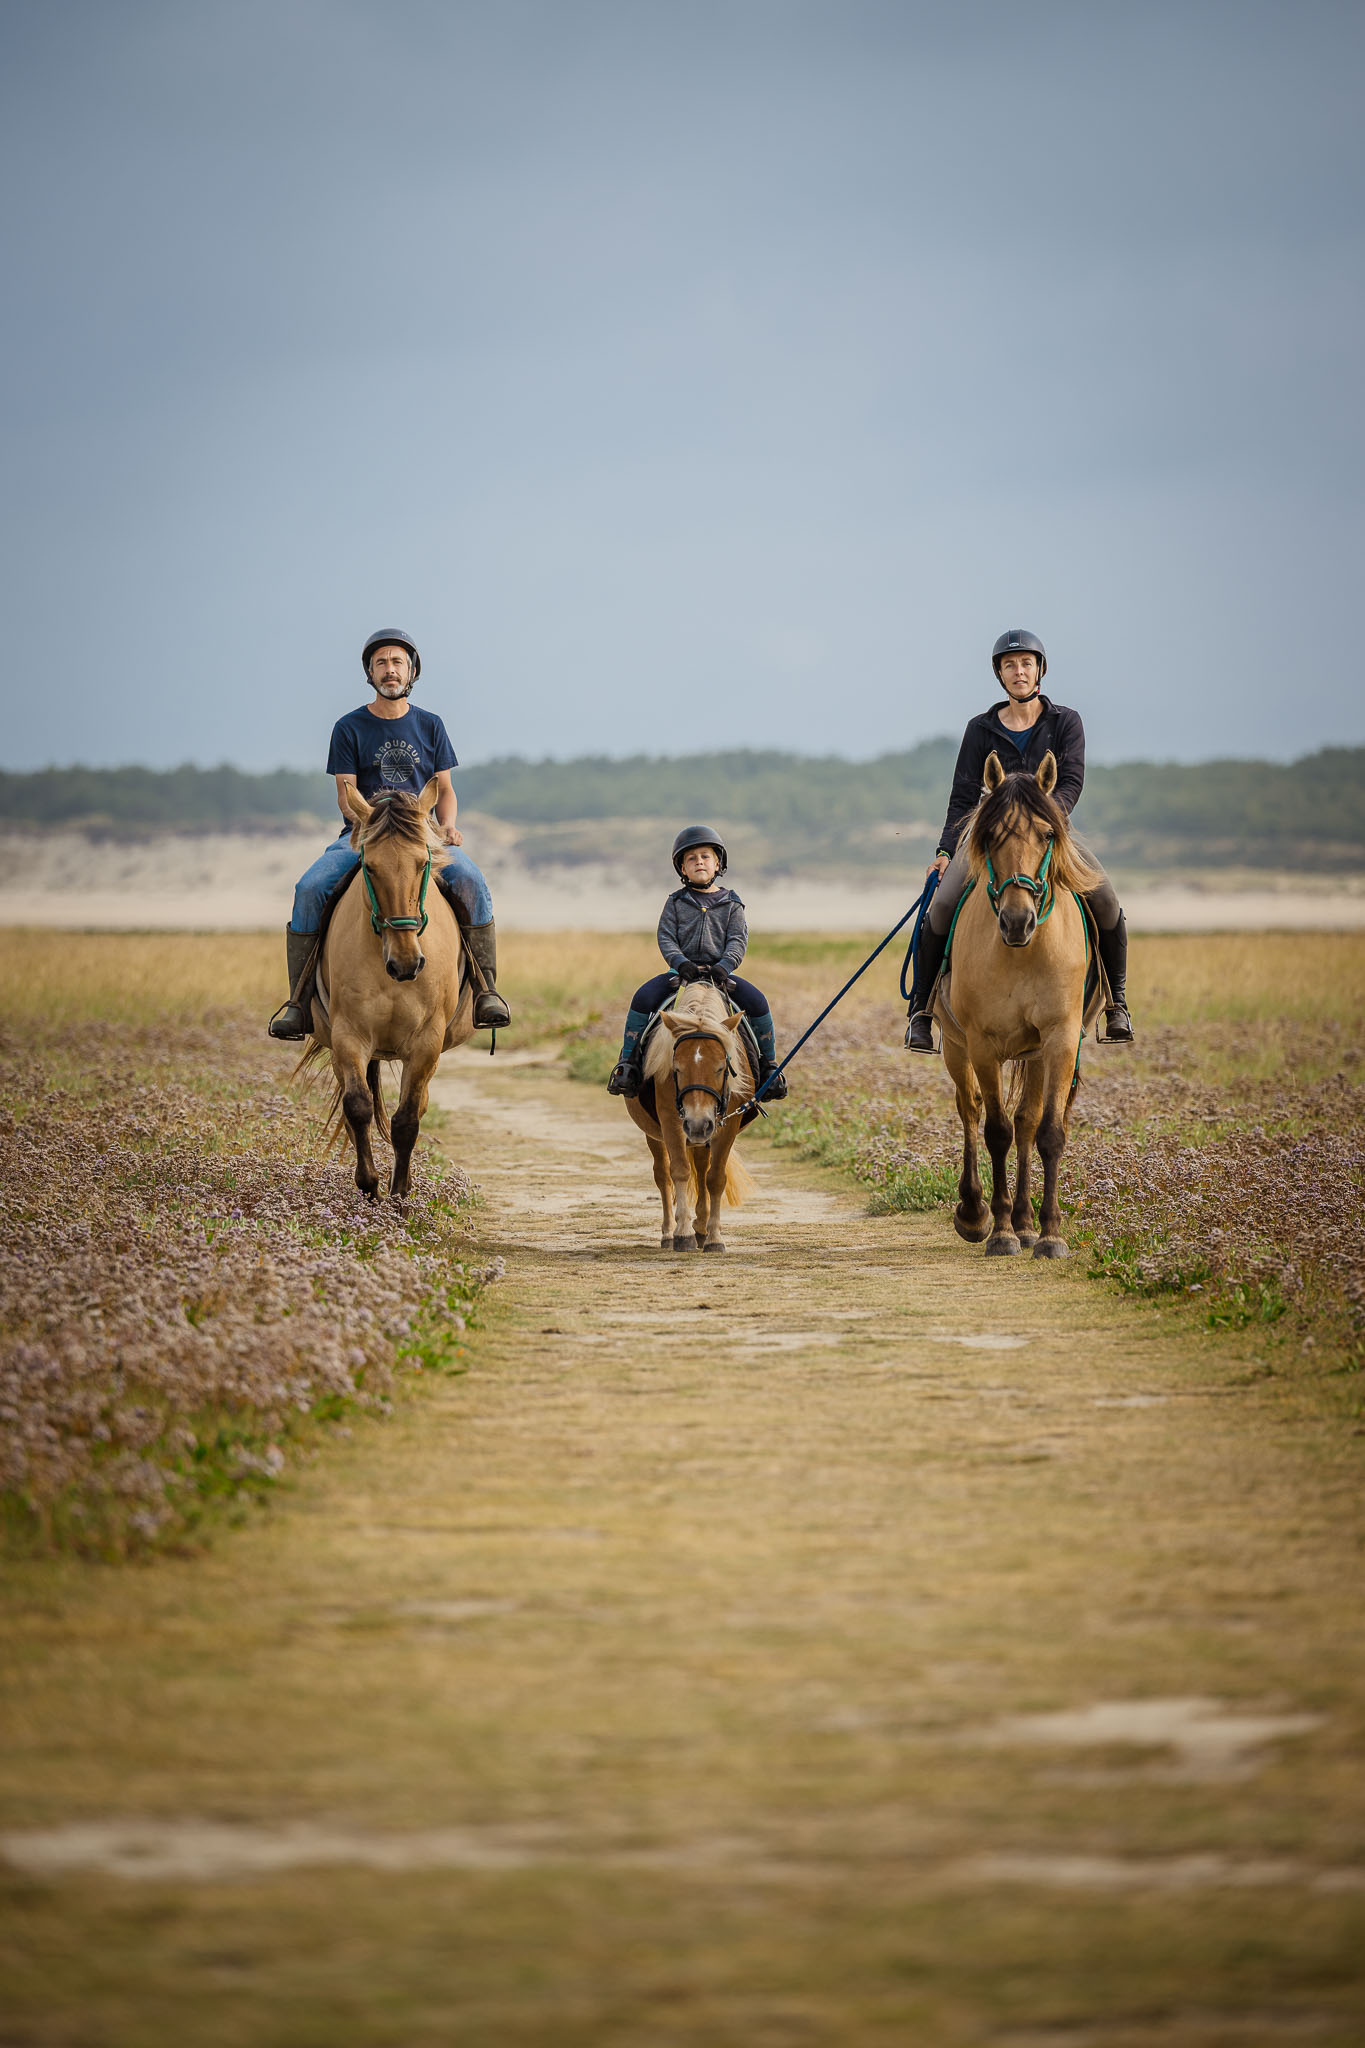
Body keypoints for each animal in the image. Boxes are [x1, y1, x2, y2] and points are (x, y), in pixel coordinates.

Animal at [300, 779, 474, 1200]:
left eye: (422, 863)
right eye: (370, 866)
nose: (406, 963)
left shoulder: (427, 1042)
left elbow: (407, 1119)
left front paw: (399, 1197)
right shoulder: (348, 1036)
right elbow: (358, 1107)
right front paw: (370, 1190)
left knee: (419, 1105)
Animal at [625, 981, 756, 1251]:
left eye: (721, 1068)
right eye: (676, 1069)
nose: (697, 1124)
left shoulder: (726, 1125)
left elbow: (715, 1178)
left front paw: (714, 1237)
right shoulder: (671, 1121)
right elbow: (680, 1171)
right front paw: (682, 1234)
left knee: (702, 1169)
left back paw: (702, 1229)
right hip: (658, 1135)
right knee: (663, 1175)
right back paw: (668, 1234)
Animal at [933, 750, 1104, 1259]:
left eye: (1047, 833)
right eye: (989, 836)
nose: (1016, 921)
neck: (1022, 953)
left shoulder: (1060, 1039)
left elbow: (1047, 1132)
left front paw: (1048, 1234)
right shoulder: (983, 1044)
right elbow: (995, 1130)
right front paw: (1001, 1232)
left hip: (1036, 1053)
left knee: (1027, 1122)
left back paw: (1028, 1223)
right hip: (956, 1047)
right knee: (970, 1110)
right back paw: (975, 1213)